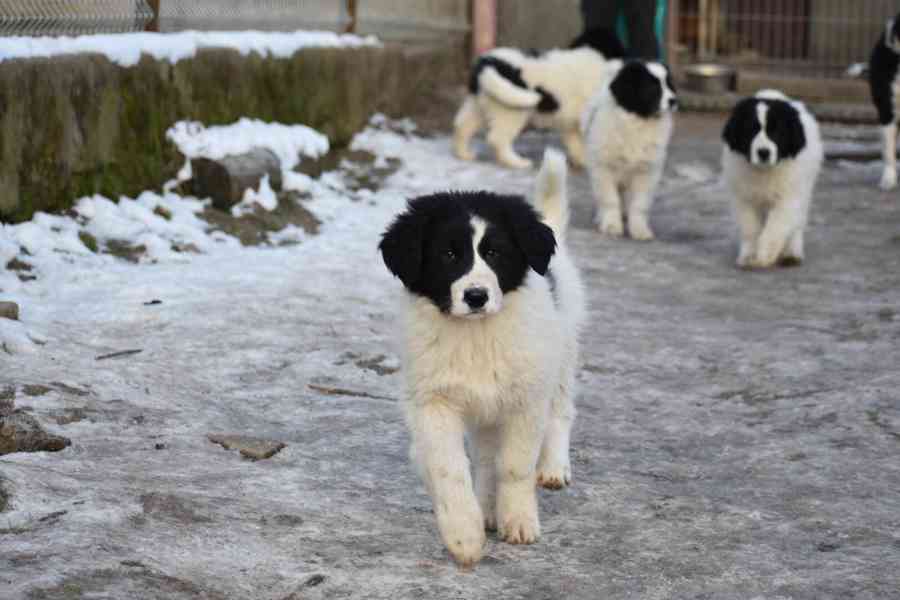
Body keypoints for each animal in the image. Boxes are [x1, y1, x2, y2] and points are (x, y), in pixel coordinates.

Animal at [378, 150, 584, 568]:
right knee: (486, 457)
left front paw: (519, 519)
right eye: (448, 254)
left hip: (560, 353)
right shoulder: (434, 401)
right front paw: (464, 535)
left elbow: (515, 466)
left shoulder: (525, 399)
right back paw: (486, 509)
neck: (475, 335)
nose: (476, 296)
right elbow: (450, 469)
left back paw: (553, 467)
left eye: (494, 253)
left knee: (560, 411)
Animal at [450, 27, 624, 169]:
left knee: (462, 126)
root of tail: (487, 63)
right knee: (497, 139)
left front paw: (579, 160)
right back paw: (516, 162)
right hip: (510, 110)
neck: (591, 54)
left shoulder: (570, 121)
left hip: (481, 102)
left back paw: (464, 153)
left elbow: (575, 142)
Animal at [584, 59, 676, 240]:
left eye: (668, 84)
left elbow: (639, 204)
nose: (673, 101)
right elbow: (610, 200)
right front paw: (611, 225)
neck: (637, 122)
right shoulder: (604, 168)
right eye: (652, 87)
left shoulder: (645, 172)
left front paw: (639, 230)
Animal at [724, 88, 824, 268]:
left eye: (777, 131)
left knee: (797, 223)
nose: (763, 152)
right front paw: (750, 255)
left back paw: (791, 252)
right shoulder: (744, 197)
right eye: (750, 130)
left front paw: (764, 254)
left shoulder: (789, 197)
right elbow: (750, 227)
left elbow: (776, 227)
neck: (764, 172)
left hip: (805, 188)